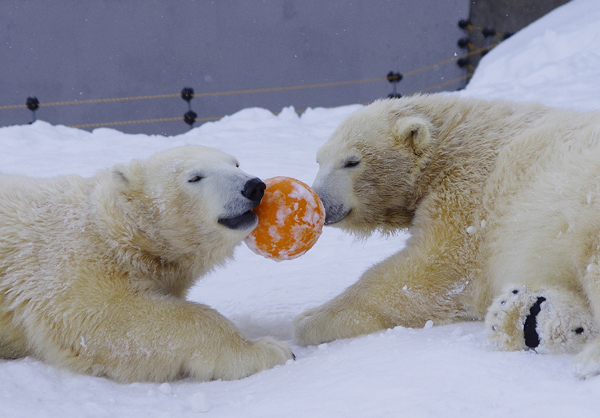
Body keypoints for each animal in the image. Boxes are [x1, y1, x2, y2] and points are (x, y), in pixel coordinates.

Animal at [0, 145, 292, 382]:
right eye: (195, 177)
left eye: (236, 164)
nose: (254, 186)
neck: (113, 230)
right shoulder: (71, 262)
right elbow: (106, 318)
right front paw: (265, 349)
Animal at [294, 94, 600, 378]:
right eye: (319, 160)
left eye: (351, 161)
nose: (320, 203)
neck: (451, 139)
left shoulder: (467, 195)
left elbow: (428, 274)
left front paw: (307, 320)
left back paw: (587, 359)